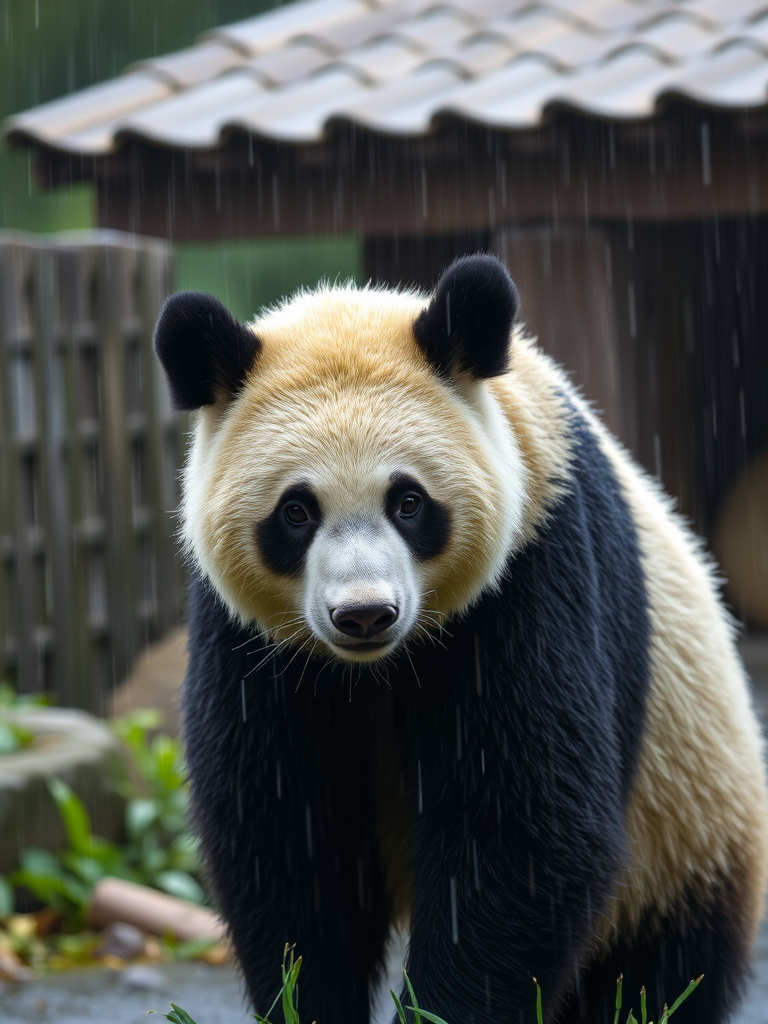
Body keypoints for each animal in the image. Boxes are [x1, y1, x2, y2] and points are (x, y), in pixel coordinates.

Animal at [156, 253, 768, 1024]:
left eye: (408, 502)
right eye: (296, 512)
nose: (364, 614)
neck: (378, 667)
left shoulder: (535, 562)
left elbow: (521, 823)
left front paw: (438, 1007)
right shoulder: (249, 638)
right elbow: (287, 830)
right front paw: (305, 1000)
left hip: (688, 819)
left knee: (655, 971)